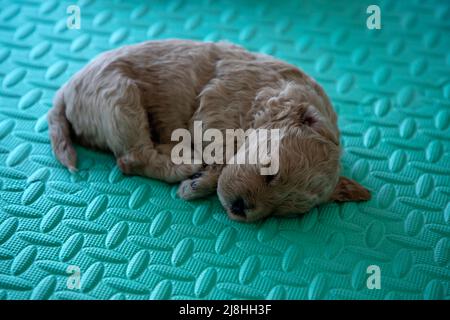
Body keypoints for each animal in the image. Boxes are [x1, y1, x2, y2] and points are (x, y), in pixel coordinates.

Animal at [47, 38, 370, 221]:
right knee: (132, 157)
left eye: (282, 210)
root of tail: (65, 90)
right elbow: (219, 154)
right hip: (118, 97)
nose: (240, 208)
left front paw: (201, 182)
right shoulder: (217, 108)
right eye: (270, 173)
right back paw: (182, 164)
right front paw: (198, 181)